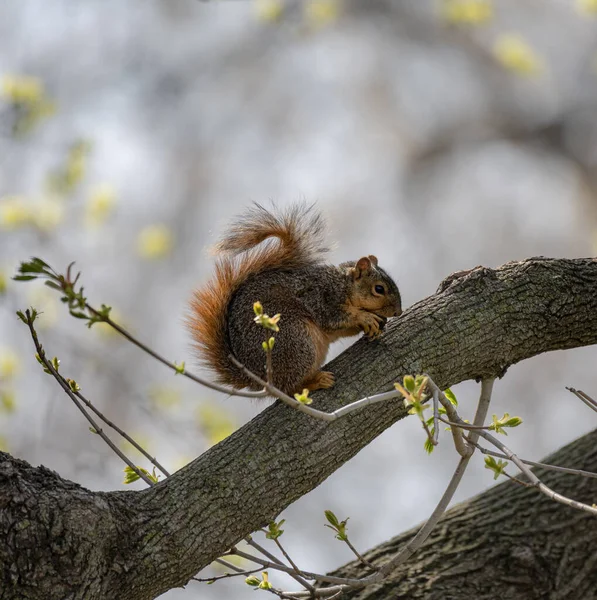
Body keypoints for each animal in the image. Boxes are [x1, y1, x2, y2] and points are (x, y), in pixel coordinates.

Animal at [189, 204, 402, 396]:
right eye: (379, 289)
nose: (398, 312)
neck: (344, 285)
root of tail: (256, 378)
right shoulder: (323, 298)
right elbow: (336, 318)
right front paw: (365, 318)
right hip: (294, 340)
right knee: (288, 388)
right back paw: (315, 381)